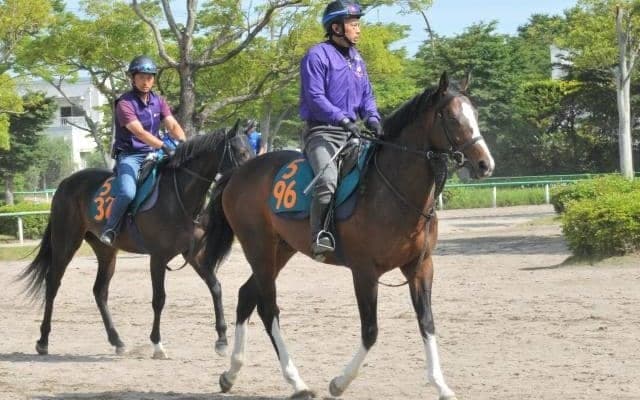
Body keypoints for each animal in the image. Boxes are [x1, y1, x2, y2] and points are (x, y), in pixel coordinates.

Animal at [19, 123, 254, 359]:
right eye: (241, 152)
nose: (248, 177)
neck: (178, 195)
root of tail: (65, 183)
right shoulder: (158, 258)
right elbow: (159, 299)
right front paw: (157, 344)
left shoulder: (194, 255)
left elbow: (216, 288)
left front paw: (222, 340)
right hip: (66, 243)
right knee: (52, 284)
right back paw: (43, 340)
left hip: (106, 252)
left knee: (99, 291)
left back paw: (117, 341)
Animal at [203, 72, 495, 399]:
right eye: (453, 118)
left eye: (475, 115)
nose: (485, 164)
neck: (391, 188)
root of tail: (238, 173)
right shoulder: (364, 272)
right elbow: (370, 331)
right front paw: (339, 382)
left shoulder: (420, 267)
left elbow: (427, 323)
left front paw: (441, 385)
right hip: (259, 249)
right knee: (267, 308)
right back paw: (296, 381)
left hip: (280, 251)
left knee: (246, 295)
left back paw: (231, 373)